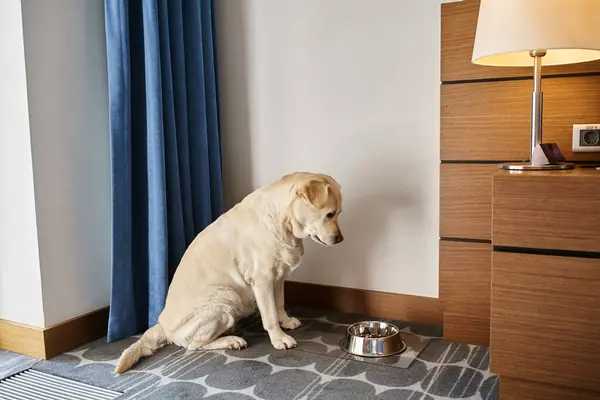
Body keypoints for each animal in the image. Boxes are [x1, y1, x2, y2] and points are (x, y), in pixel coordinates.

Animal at [115, 173, 344, 376]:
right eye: (329, 214)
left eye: (339, 213)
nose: (340, 239)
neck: (283, 221)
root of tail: (162, 324)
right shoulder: (262, 280)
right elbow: (269, 315)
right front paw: (279, 339)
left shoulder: (279, 277)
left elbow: (279, 304)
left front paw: (286, 322)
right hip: (226, 298)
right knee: (193, 345)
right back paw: (232, 340)